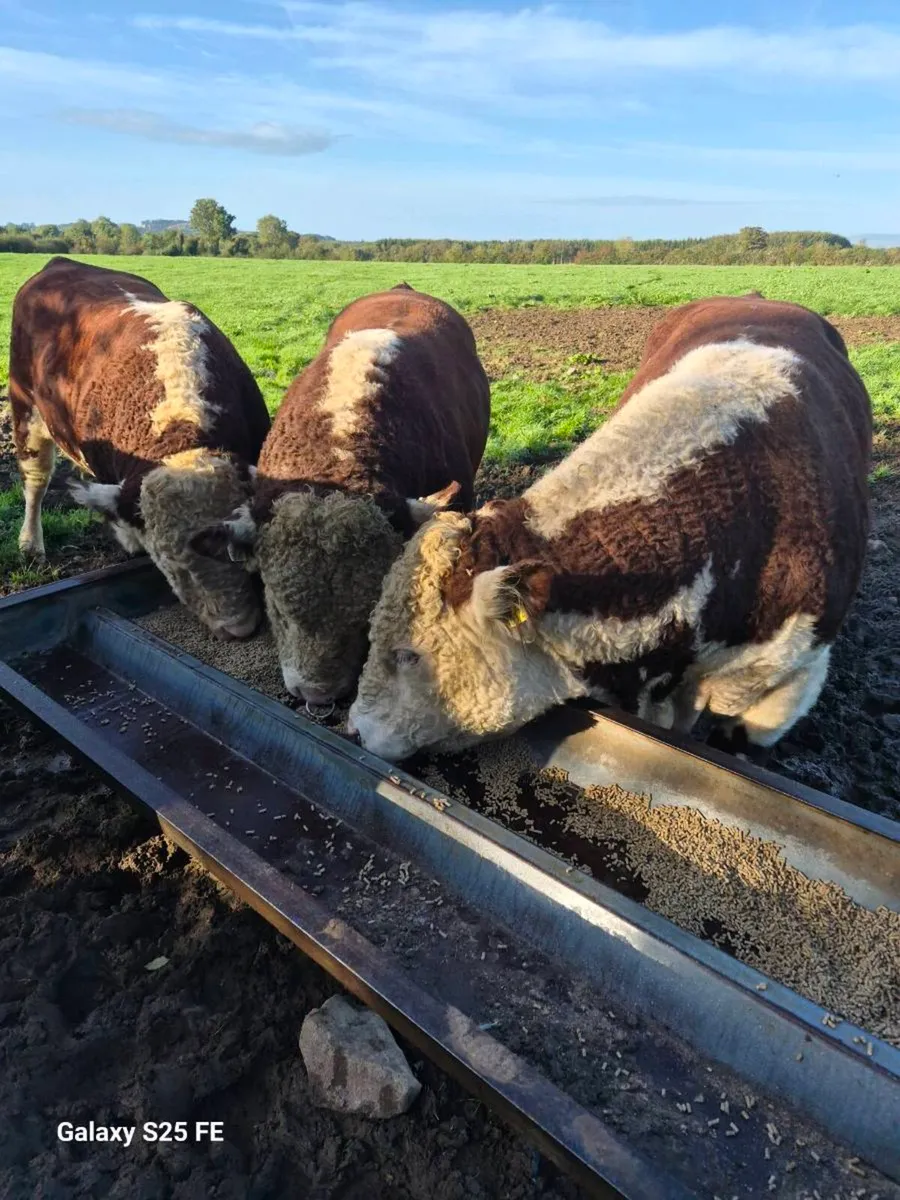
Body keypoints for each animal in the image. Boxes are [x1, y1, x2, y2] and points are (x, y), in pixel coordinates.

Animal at [9, 257, 270, 638]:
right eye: (172, 565)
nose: (239, 628)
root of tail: (60, 263)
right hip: (23, 405)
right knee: (36, 480)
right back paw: (31, 544)